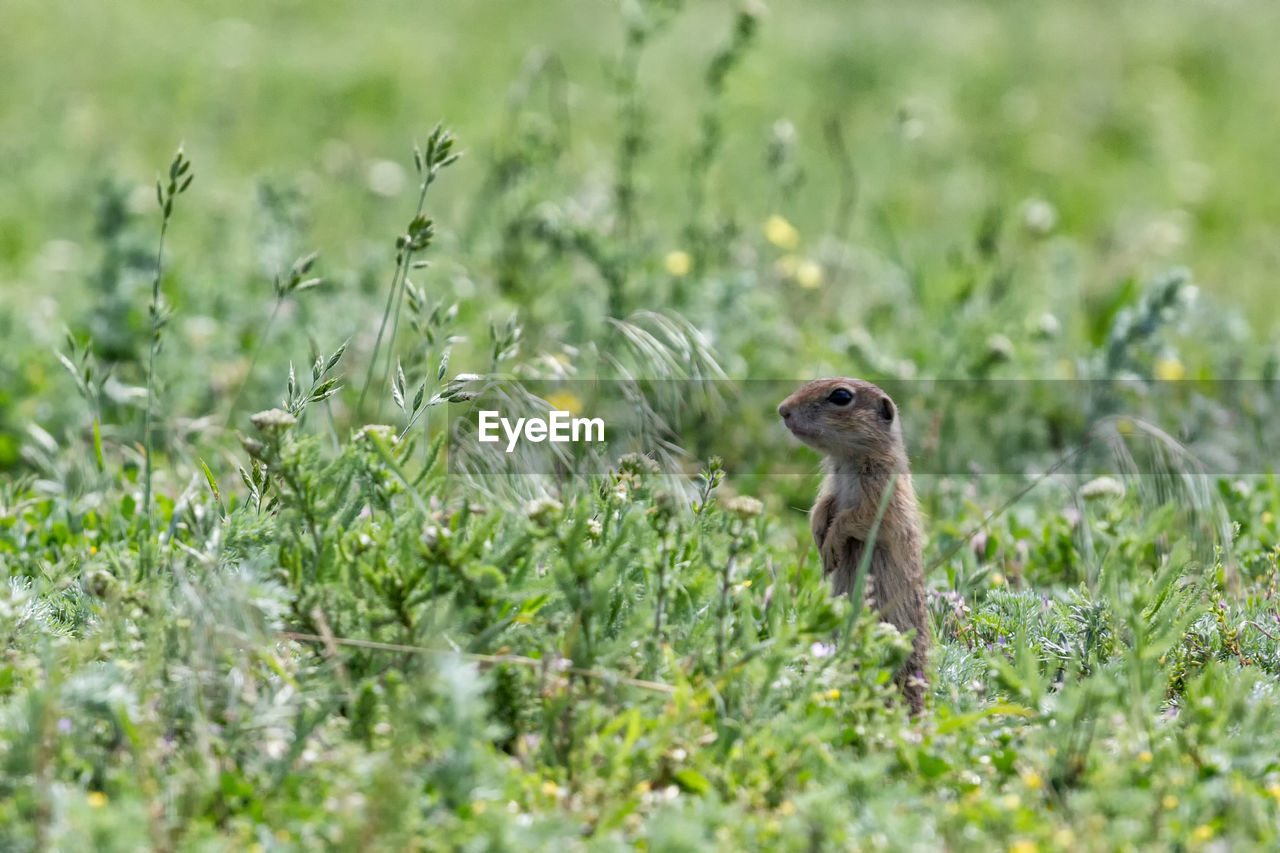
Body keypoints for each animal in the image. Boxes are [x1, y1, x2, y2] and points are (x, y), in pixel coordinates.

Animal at [778, 376, 931, 712]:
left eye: (841, 396)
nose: (782, 410)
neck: (847, 460)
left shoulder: (883, 493)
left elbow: (857, 518)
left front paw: (831, 548)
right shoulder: (831, 486)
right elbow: (822, 506)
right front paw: (820, 539)